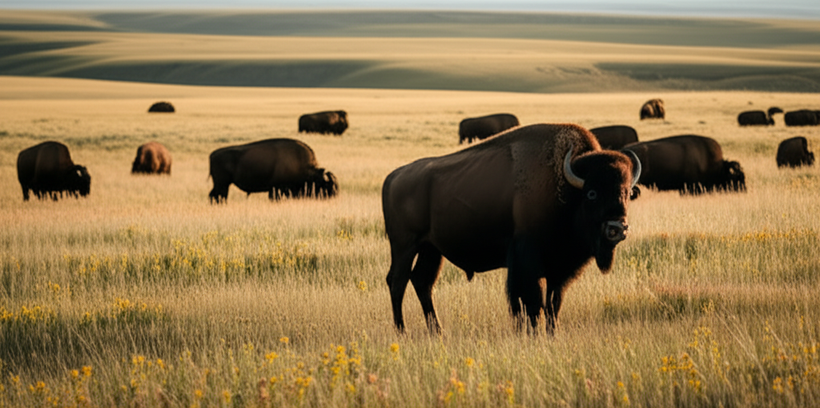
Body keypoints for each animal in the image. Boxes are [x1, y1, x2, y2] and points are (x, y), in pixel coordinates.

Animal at [208, 138, 337, 204]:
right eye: (326, 186)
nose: (332, 197)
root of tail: (212, 155)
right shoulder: (276, 189)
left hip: (222, 184)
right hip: (222, 184)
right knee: (218, 196)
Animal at [382, 123, 641, 335]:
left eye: (627, 192)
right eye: (592, 193)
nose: (617, 229)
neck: (567, 189)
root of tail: (393, 176)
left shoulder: (559, 268)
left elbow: (553, 302)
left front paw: (551, 332)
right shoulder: (527, 259)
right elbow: (531, 301)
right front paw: (530, 332)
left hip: (431, 249)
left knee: (422, 282)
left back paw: (437, 331)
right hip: (405, 246)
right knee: (398, 282)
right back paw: (402, 331)